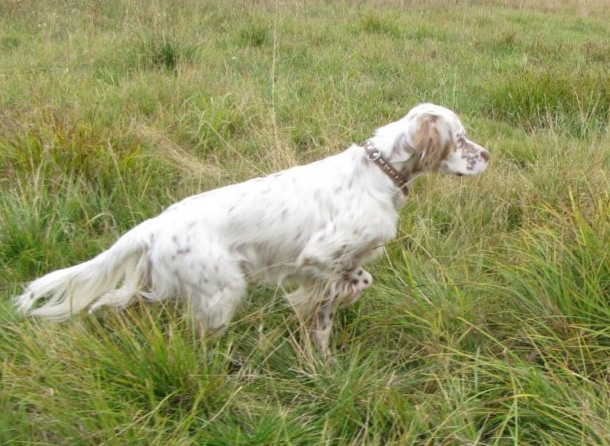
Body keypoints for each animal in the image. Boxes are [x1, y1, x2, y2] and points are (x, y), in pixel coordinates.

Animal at [15, 103, 489, 358]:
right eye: (461, 138)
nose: (487, 155)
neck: (381, 171)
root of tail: (156, 224)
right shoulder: (320, 256)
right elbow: (350, 283)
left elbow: (334, 303)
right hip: (223, 293)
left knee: (111, 300)